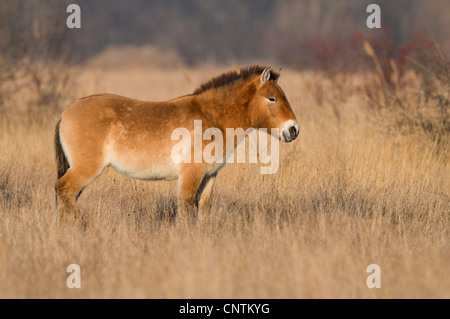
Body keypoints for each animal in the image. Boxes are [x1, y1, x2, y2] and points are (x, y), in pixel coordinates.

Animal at [54, 66, 300, 224]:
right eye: (271, 98)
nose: (293, 130)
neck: (211, 118)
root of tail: (65, 112)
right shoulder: (190, 176)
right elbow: (185, 209)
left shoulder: (209, 176)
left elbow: (202, 210)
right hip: (86, 169)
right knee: (64, 190)